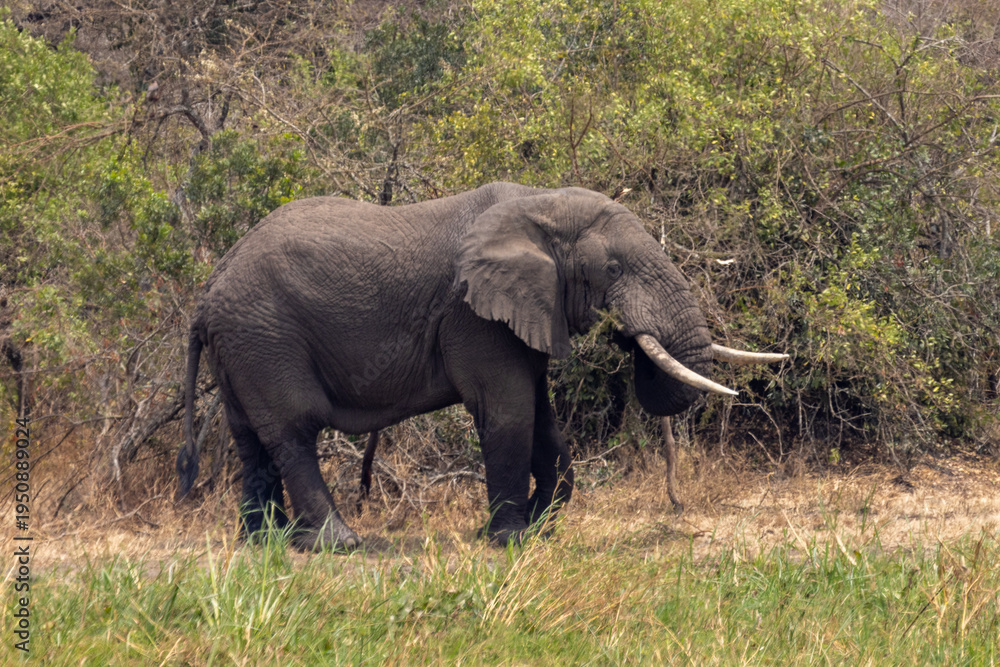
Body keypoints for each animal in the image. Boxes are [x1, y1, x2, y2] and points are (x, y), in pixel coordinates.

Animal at [176, 182, 786, 551]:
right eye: (612, 269)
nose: (625, 334)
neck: (541, 206)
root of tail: (205, 296)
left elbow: (542, 419)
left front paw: (539, 527)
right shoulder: (472, 316)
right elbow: (509, 413)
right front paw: (511, 538)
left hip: (243, 345)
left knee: (250, 439)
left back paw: (266, 545)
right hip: (265, 336)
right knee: (293, 430)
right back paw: (338, 545)